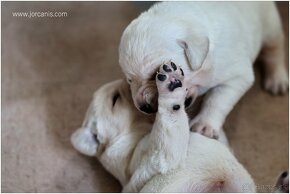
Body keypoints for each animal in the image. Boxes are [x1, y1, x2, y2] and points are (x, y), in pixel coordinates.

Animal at [118, 1, 288, 138]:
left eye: (157, 74)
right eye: (129, 79)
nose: (144, 107)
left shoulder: (237, 76)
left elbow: (217, 99)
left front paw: (204, 126)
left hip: (270, 24)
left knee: (275, 50)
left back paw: (277, 79)